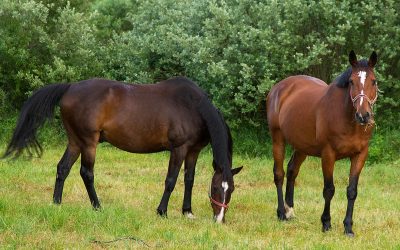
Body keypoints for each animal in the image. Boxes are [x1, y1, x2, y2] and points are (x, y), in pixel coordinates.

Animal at [4, 76, 242, 223]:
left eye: (230, 189)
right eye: (215, 188)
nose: (219, 219)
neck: (193, 107)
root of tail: (70, 87)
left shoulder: (193, 150)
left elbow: (189, 180)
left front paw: (187, 212)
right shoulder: (179, 149)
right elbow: (171, 180)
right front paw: (162, 211)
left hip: (75, 141)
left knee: (62, 168)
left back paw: (56, 203)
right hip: (88, 143)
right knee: (86, 173)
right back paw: (97, 206)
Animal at [268, 51, 378, 236]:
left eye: (374, 81)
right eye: (351, 81)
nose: (363, 115)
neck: (346, 118)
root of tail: (279, 87)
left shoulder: (360, 155)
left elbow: (352, 191)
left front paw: (348, 227)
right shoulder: (328, 154)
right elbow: (329, 190)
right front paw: (326, 223)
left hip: (302, 146)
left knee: (292, 170)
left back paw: (289, 210)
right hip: (278, 139)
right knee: (279, 174)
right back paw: (281, 213)